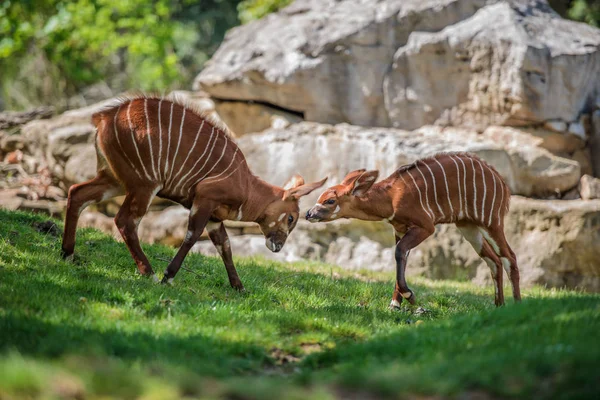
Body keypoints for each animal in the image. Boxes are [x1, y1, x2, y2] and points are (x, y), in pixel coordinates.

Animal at [60, 94, 324, 288]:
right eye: (291, 218)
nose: (277, 246)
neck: (246, 184)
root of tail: (104, 117)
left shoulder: (215, 217)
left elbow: (225, 245)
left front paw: (239, 287)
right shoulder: (204, 198)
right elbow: (192, 235)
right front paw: (168, 277)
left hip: (114, 179)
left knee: (76, 193)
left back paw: (67, 255)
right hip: (144, 184)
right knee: (124, 220)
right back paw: (149, 273)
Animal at [308, 152, 516, 306]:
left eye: (330, 200)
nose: (309, 213)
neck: (391, 197)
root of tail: (502, 182)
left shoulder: (426, 226)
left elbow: (400, 252)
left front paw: (409, 297)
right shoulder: (399, 229)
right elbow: (401, 257)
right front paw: (395, 305)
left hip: (491, 222)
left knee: (509, 256)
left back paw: (516, 305)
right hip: (468, 227)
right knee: (494, 260)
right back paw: (499, 305)